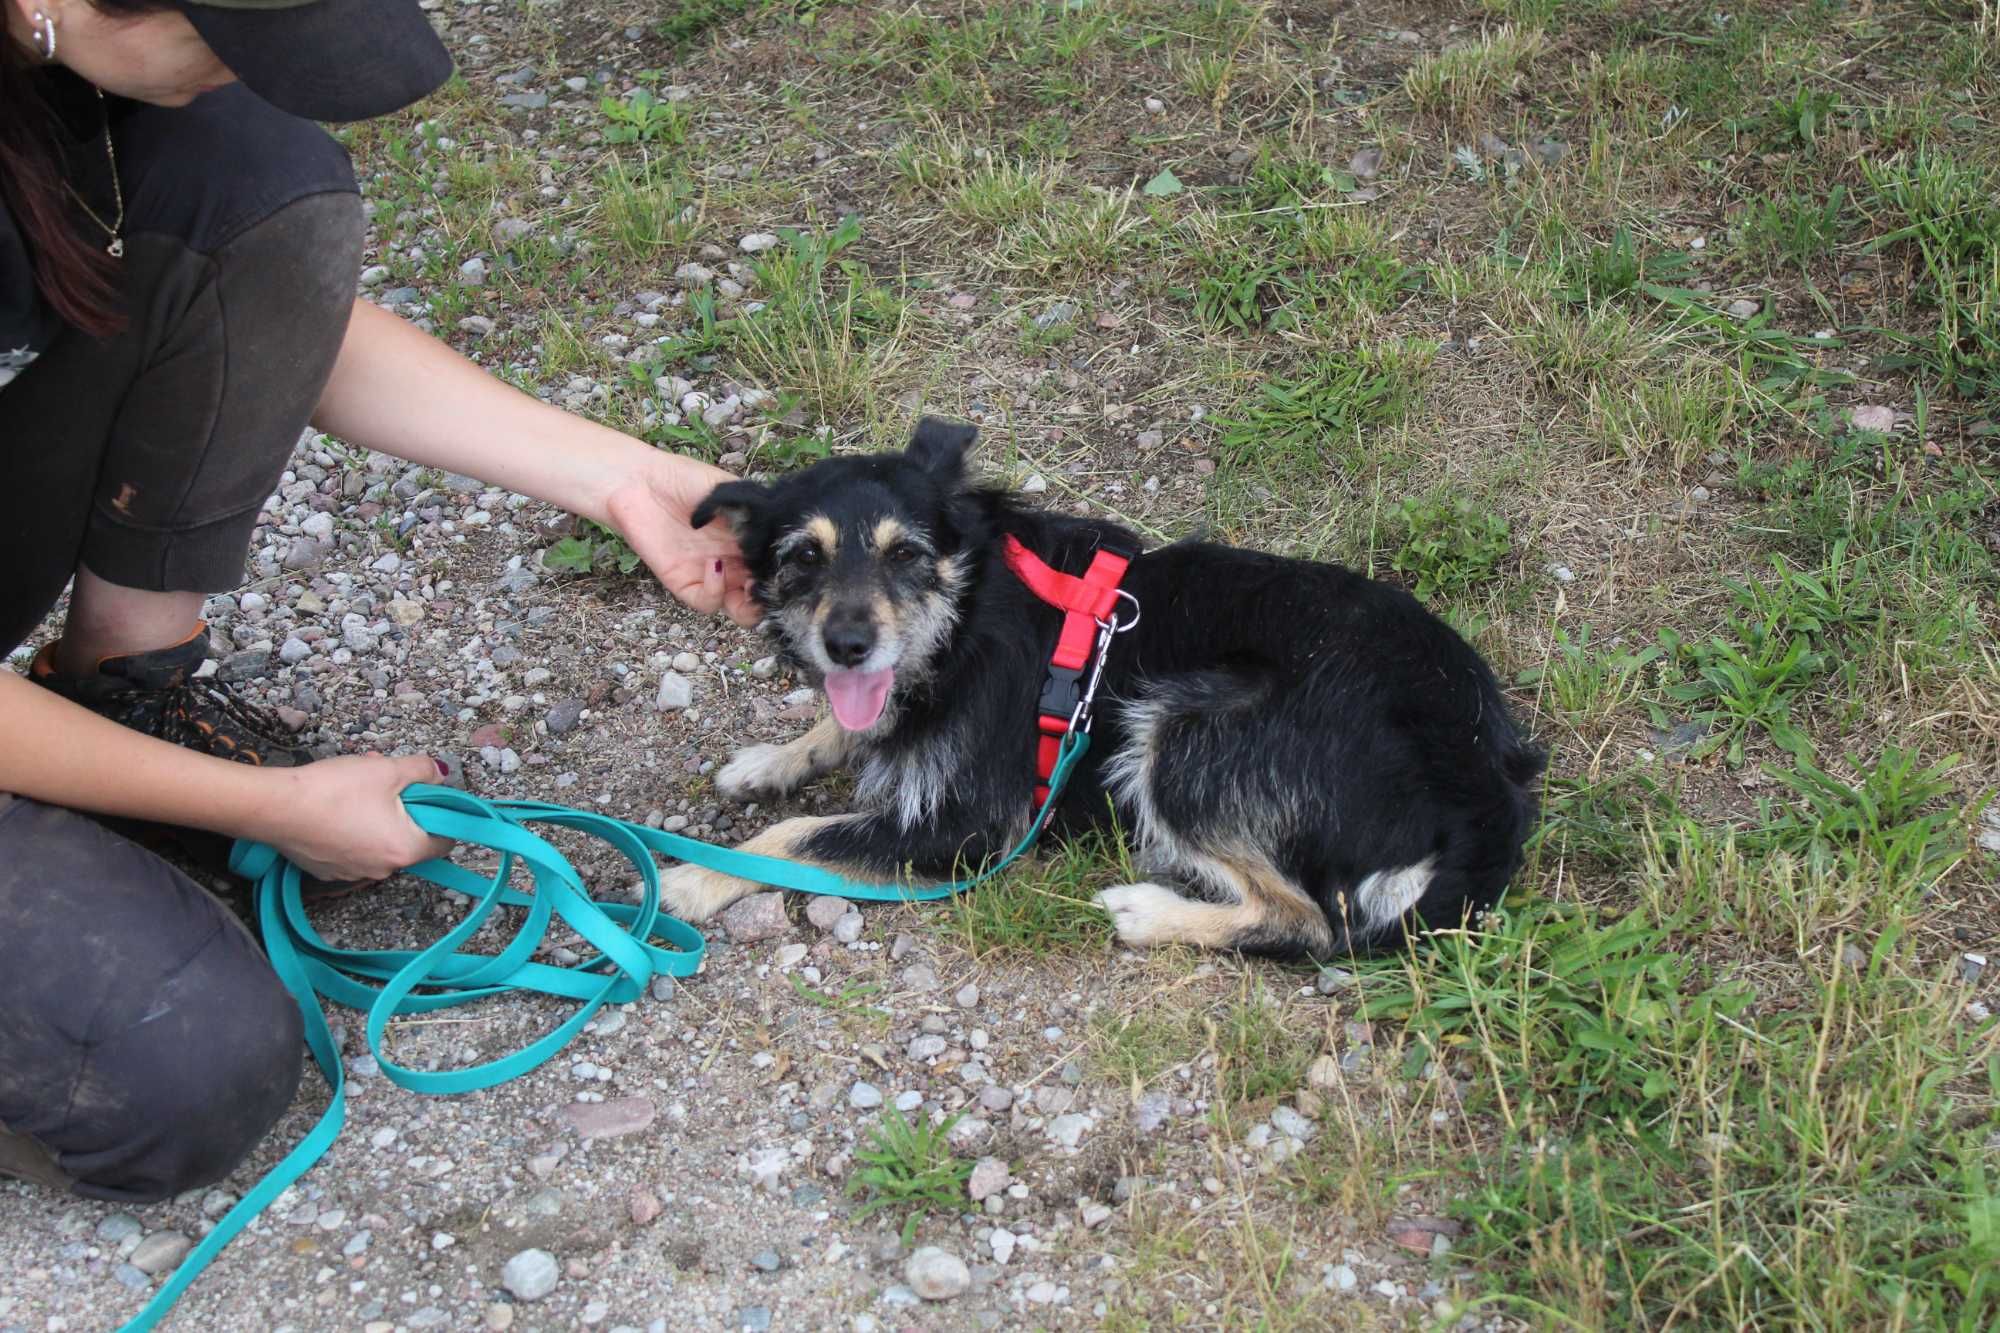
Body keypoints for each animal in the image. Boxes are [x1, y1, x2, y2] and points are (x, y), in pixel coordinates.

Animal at [660, 418, 1544, 956]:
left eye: (906, 553)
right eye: (803, 557)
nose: (848, 644)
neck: (966, 615)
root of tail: (1485, 773)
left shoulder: (966, 824)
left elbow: (794, 836)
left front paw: (690, 877)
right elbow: (846, 726)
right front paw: (773, 759)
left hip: (1188, 731)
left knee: (1306, 922)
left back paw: (1149, 910)